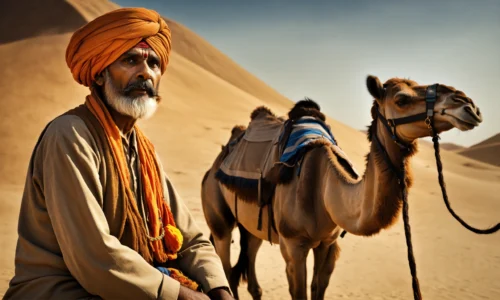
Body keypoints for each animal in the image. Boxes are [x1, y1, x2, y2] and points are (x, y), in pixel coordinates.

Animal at [201, 75, 482, 300]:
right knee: (224, 263)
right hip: (218, 216)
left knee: (248, 268)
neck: (324, 189)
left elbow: (318, 290)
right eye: (401, 99)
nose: (468, 104)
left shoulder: (329, 243)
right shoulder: (293, 245)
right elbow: (300, 293)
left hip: (254, 226)